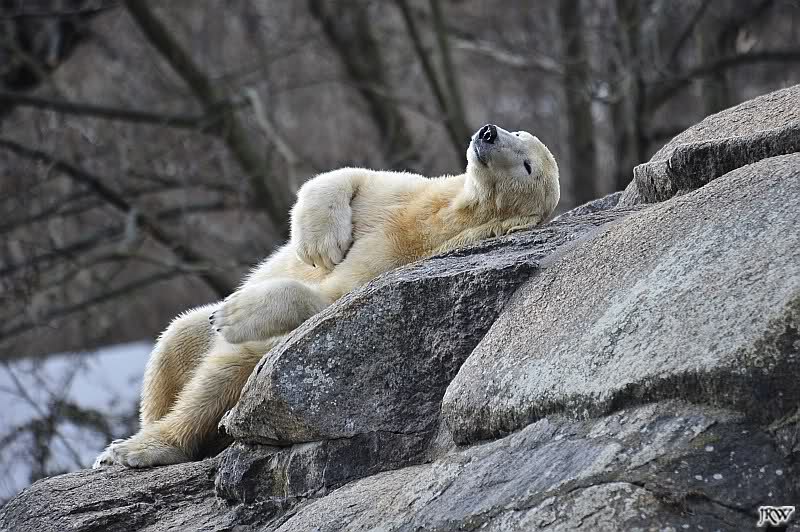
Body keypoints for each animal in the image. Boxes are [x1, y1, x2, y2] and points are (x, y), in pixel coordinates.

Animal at [93, 124, 560, 468]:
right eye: (517, 129)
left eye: (527, 165)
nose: (488, 133)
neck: (451, 215)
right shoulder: (410, 195)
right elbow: (348, 178)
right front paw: (320, 244)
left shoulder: (402, 255)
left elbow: (329, 299)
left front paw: (237, 313)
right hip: (185, 340)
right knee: (176, 340)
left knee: (222, 373)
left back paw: (141, 447)